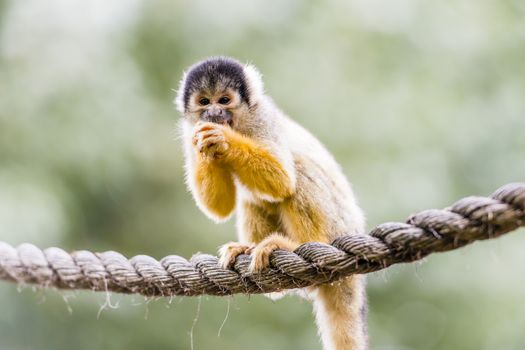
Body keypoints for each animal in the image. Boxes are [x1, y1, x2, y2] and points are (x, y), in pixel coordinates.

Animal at [174, 57, 366, 350]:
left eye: (224, 100)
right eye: (205, 102)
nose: (214, 113)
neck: (238, 122)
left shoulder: (262, 116)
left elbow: (282, 181)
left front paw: (222, 139)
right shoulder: (189, 132)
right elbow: (219, 207)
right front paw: (209, 143)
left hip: (338, 226)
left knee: (296, 172)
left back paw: (299, 245)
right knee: (253, 198)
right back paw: (249, 248)